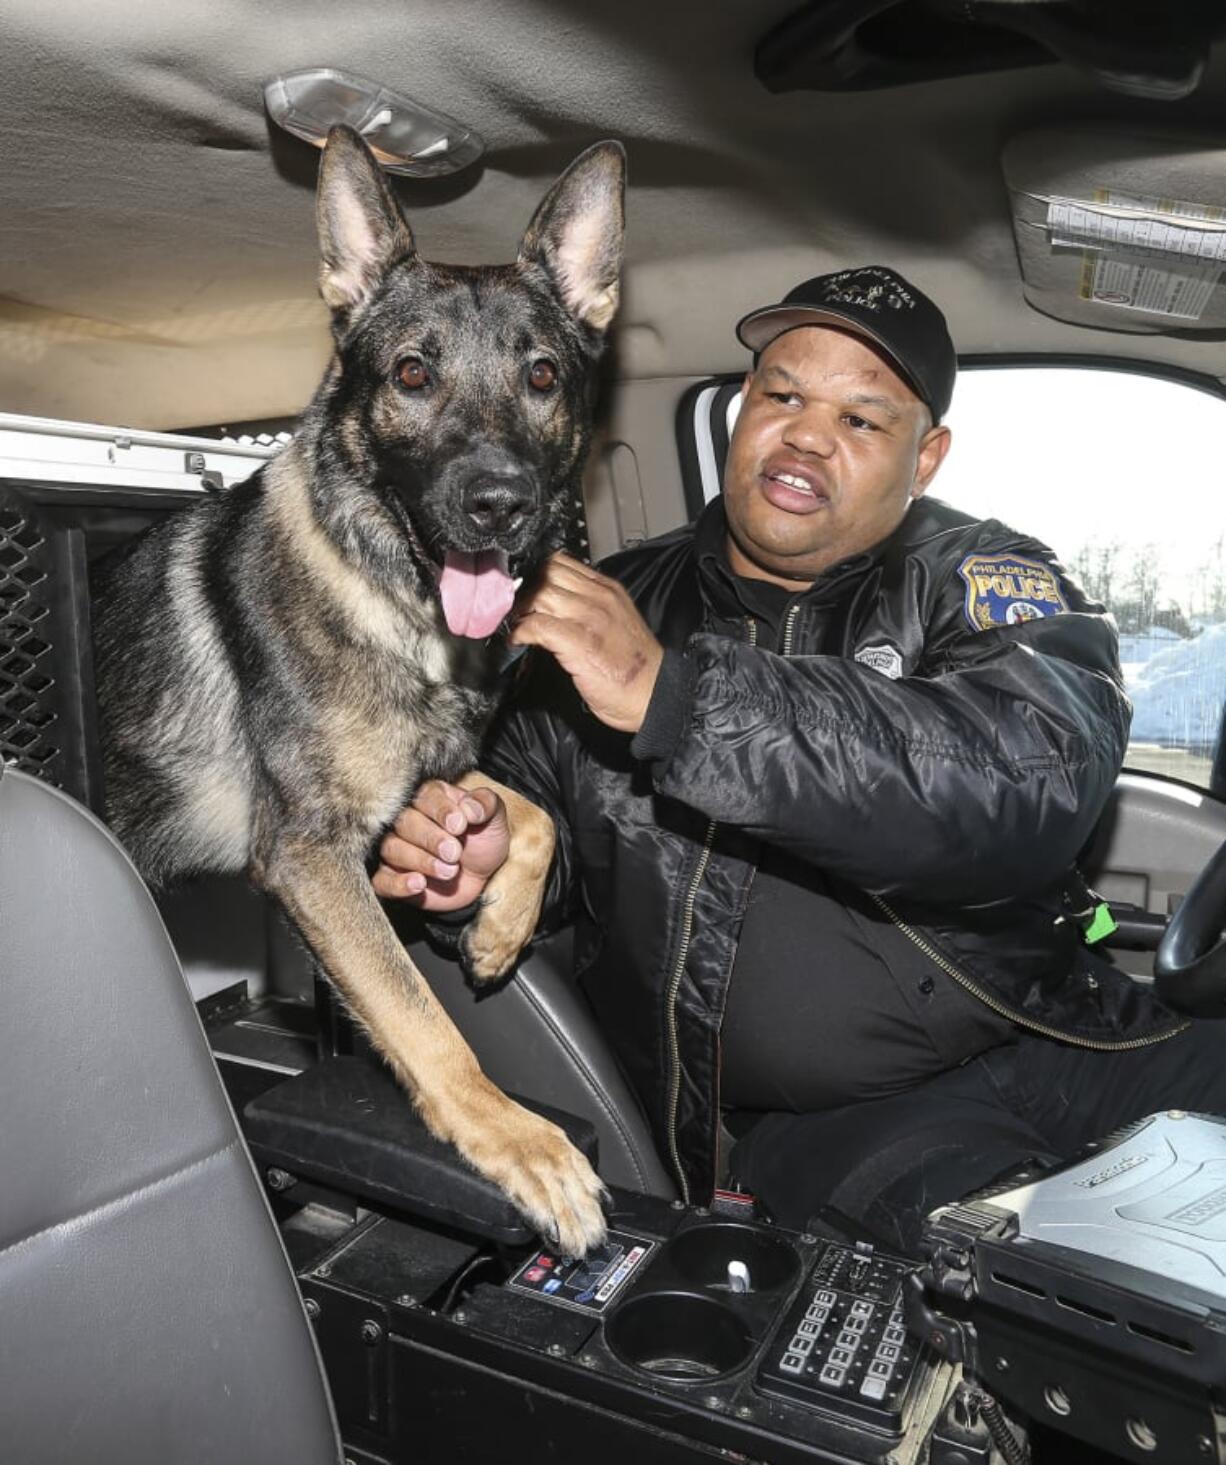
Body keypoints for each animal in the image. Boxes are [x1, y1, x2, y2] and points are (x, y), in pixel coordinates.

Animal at [91, 125, 621, 1254]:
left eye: (543, 376)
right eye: (412, 373)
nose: (500, 504)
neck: (396, 601)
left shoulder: (424, 784)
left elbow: (528, 811)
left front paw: (499, 927)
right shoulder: (308, 854)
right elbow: (421, 1019)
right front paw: (516, 1141)